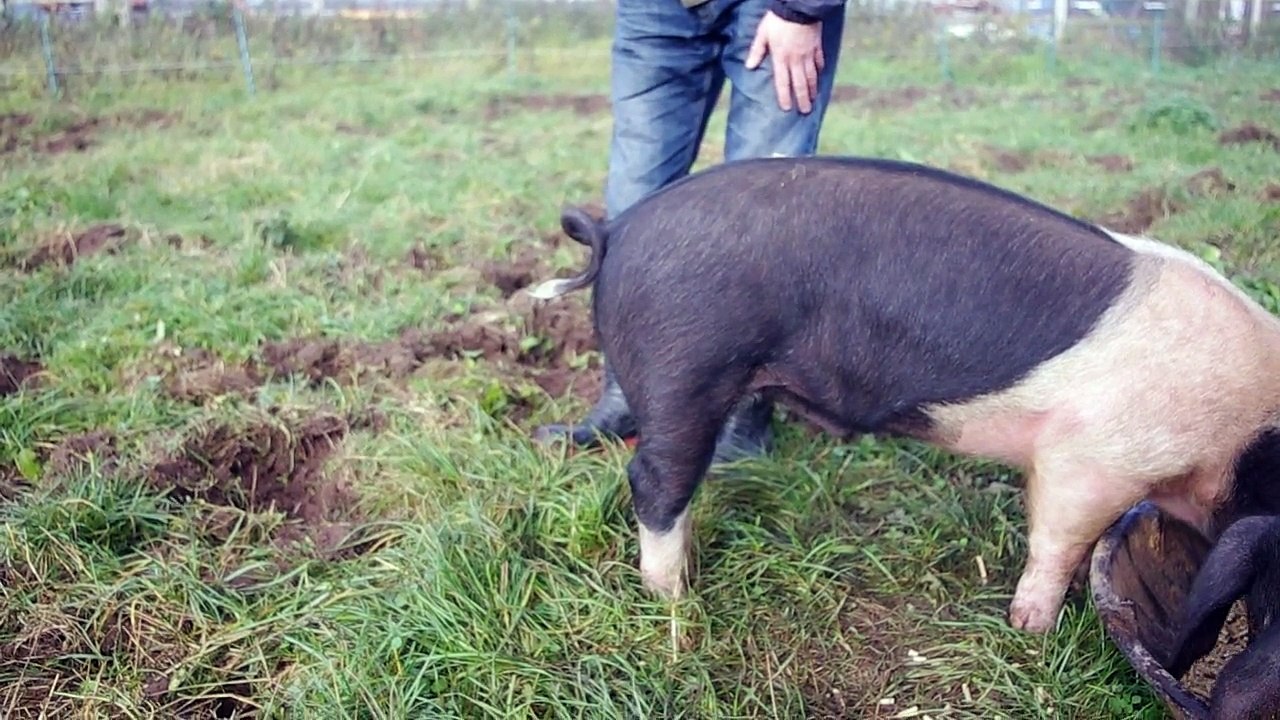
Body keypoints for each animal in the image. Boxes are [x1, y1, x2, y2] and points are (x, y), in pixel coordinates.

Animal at [527, 155, 1280, 632]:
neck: (1237, 439)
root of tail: (617, 229)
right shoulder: (1097, 457)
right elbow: (1058, 540)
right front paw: (1031, 629)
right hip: (686, 365)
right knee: (656, 479)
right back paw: (676, 599)